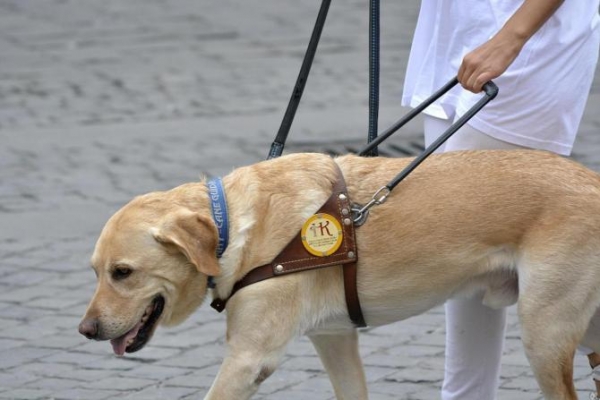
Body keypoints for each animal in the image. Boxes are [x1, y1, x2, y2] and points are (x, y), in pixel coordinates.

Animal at [78, 151, 600, 400]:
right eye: (96, 272)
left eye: (122, 273)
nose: (84, 330)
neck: (236, 230)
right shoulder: (334, 341)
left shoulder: (249, 359)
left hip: (544, 335)